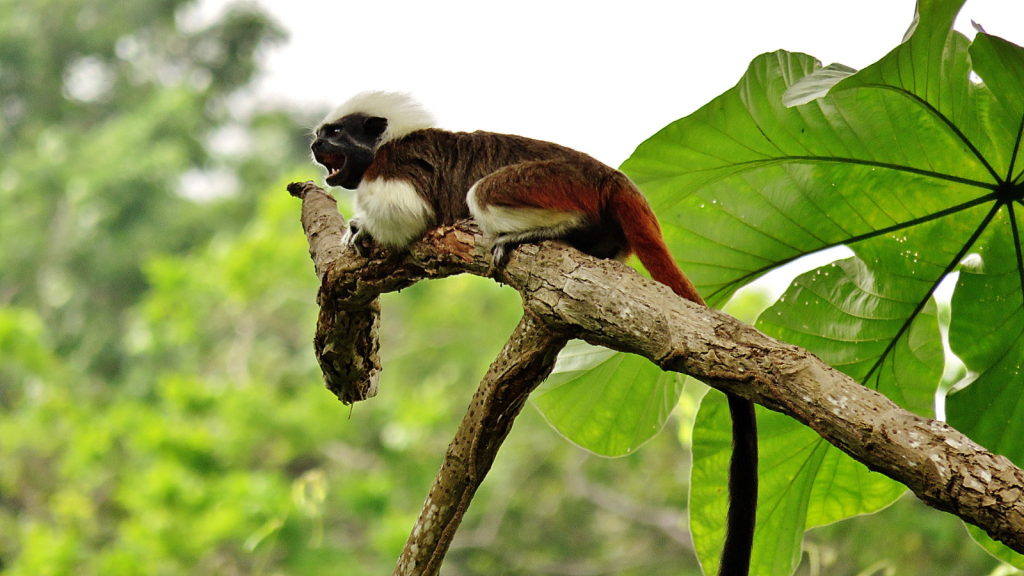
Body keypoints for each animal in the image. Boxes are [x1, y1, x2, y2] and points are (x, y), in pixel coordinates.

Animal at [307, 90, 757, 573]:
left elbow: (409, 215)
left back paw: (556, 227)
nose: (315, 145)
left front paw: (363, 227)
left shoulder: (397, 165)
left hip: (556, 182)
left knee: (483, 191)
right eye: (321, 135)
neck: (388, 143)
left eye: (335, 134)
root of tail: (612, 178)